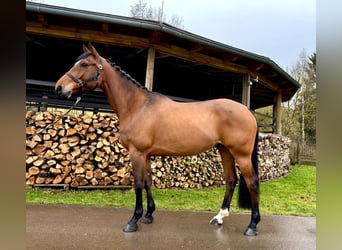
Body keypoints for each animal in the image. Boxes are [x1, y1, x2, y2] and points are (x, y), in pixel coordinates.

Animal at [54, 43, 260, 236]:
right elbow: (148, 182)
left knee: (252, 182)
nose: (59, 88)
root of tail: (246, 110)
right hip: (224, 150)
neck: (137, 106)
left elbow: (138, 184)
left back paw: (252, 225)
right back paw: (219, 217)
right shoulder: (146, 155)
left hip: (241, 154)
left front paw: (133, 221)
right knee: (231, 180)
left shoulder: (137, 153)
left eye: (84, 64)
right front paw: (148, 215)